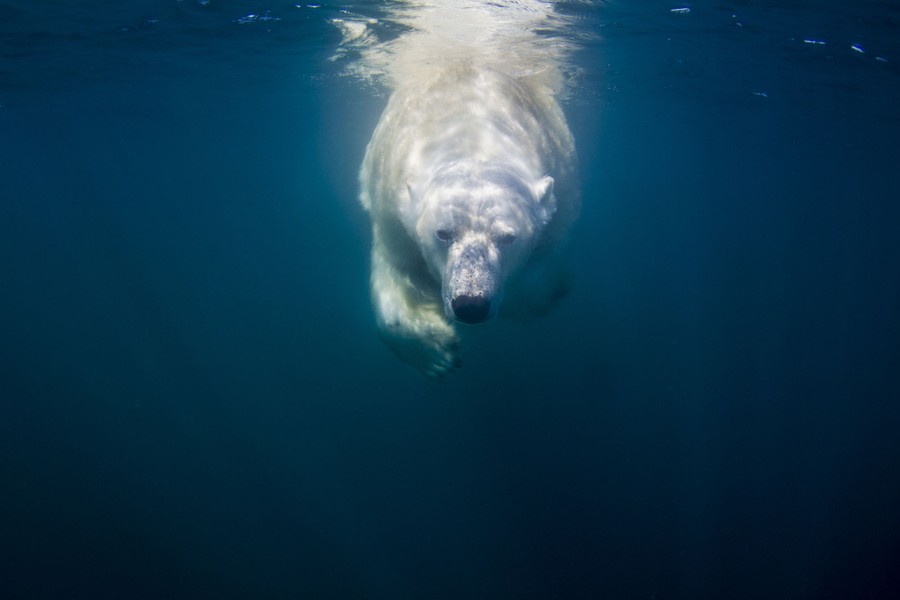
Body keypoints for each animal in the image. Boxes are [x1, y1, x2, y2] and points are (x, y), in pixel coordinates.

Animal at [359, 62, 579, 378]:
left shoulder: (563, 191)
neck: (474, 136)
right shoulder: (389, 204)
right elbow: (396, 273)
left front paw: (538, 299)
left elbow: (544, 268)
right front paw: (438, 352)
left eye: (507, 237)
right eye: (443, 233)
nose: (471, 304)